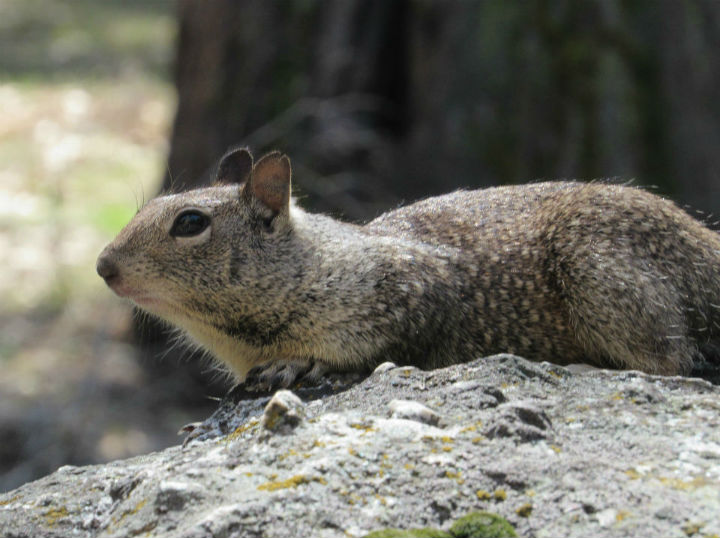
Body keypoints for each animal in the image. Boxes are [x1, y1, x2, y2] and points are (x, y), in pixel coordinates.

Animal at [95, 147, 720, 386]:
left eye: (190, 223)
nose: (103, 266)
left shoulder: (412, 291)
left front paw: (300, 363)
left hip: (604, 277)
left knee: (673, 362)